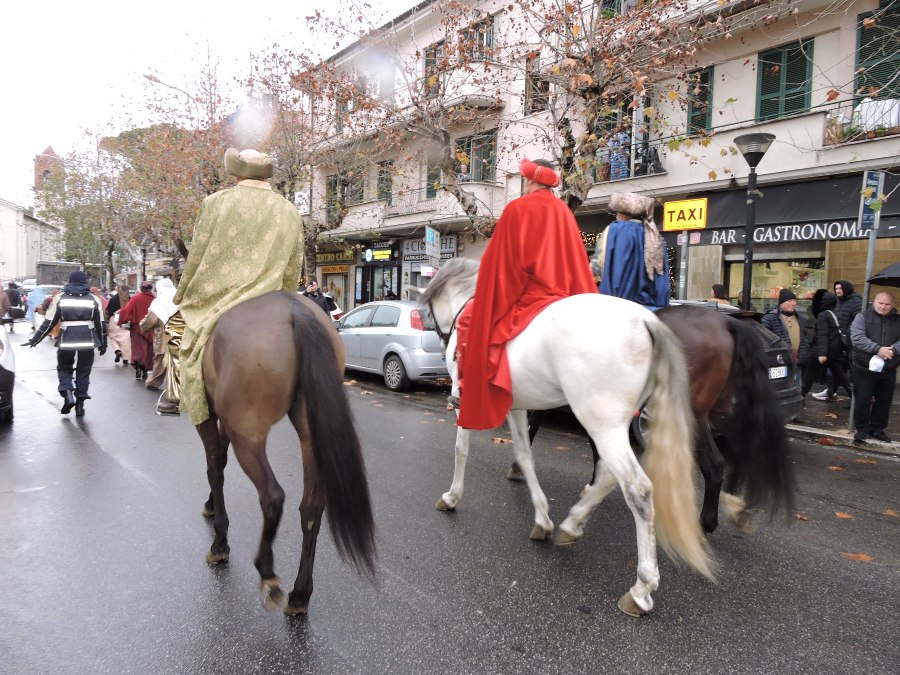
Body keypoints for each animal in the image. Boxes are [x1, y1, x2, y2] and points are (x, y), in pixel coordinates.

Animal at [197, 290, 376, 612]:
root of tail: (296, 310)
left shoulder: (208, 414)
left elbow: (215, 468)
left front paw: (219, 541)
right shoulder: (224, 420)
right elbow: (220, 460)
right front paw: (210, 504)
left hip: (249, 435)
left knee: (272, 496)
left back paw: (267, 572)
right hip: (308, 432)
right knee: (312, 508)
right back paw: (300, 593)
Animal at [420, 258, 716, 616]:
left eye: (428, 313)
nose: (439, 344)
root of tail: (646, 319)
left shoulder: (471, 400)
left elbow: (462, 449)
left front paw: (452, 497)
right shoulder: (517, 405)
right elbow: (524, 455)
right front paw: (542, 519)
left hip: (600, 420)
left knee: (638, 488)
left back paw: (641, 588)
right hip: (607, 423)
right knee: (608, 475)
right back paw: (572, 524)